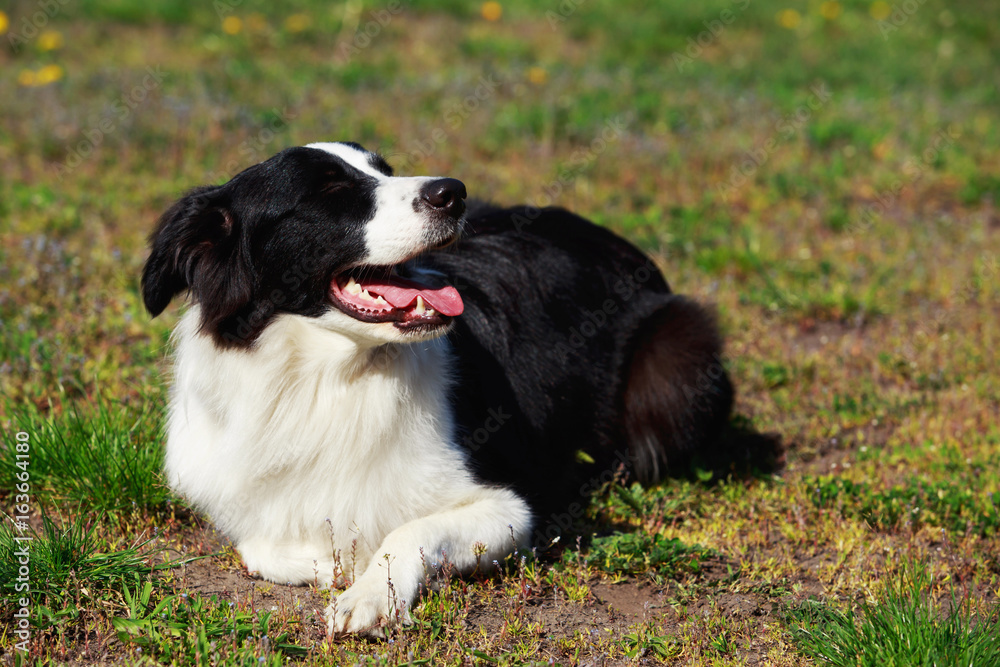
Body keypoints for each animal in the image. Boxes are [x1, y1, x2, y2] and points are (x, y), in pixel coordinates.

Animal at [141, 142, 736, 636]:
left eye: (384, 169)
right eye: (329, 192)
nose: (452, 191)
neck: (328, 380)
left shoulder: (509, 507)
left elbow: (406, 533)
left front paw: (368, 596)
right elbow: (266, 548)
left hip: (678, 353)